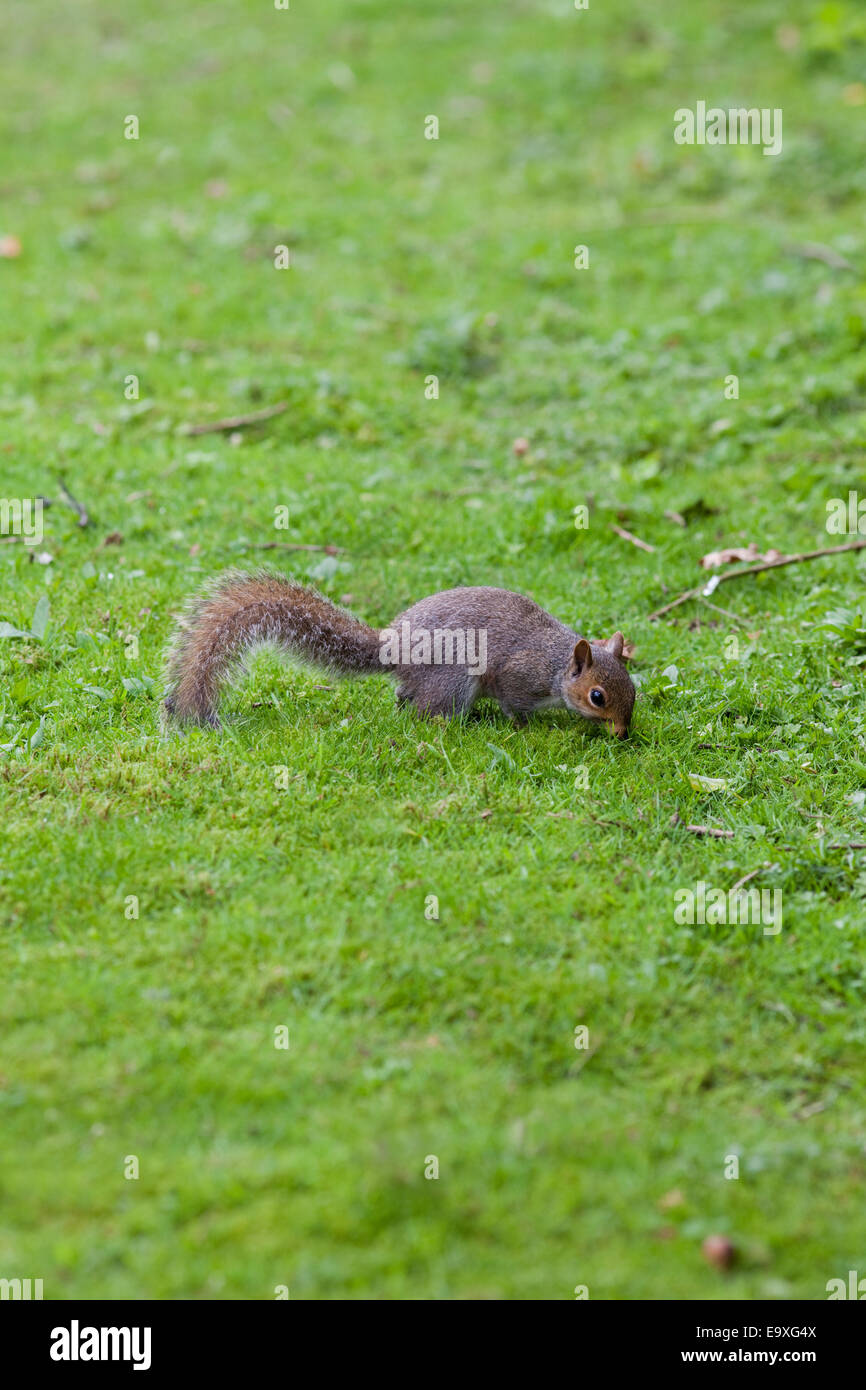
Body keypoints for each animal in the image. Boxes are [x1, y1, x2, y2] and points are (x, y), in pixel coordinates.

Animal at [162, 570, 636, 737]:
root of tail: (393, 647)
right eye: (597, 697)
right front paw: (526, 728)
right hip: (453, 680)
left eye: (634, 691)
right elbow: (514, 705)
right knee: (427, 710)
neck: (556, 664)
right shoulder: (519, 675)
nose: (622, 733)